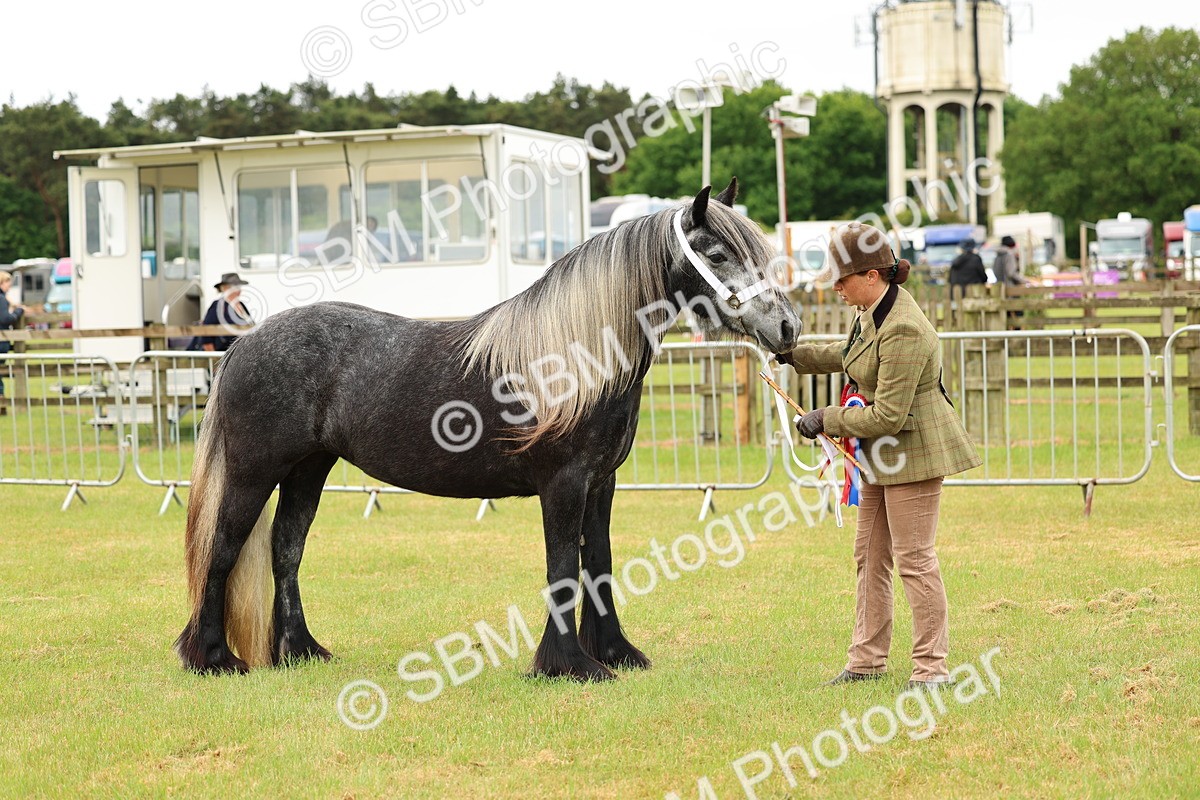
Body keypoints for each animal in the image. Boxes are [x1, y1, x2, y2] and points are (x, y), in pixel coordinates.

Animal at [175, 178, 801, 681]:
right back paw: (212, 658)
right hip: (255, 473)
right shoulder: (564, 485)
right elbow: (562, 568)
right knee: (223, 549)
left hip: (309, 469)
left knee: (285, 549)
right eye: (717, 253)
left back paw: (300, 651)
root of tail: (245, 343)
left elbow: (597, 565)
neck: (575, 357)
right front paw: (567, 665)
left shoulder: (601, 484)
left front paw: (615, 653)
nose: (788, 327)